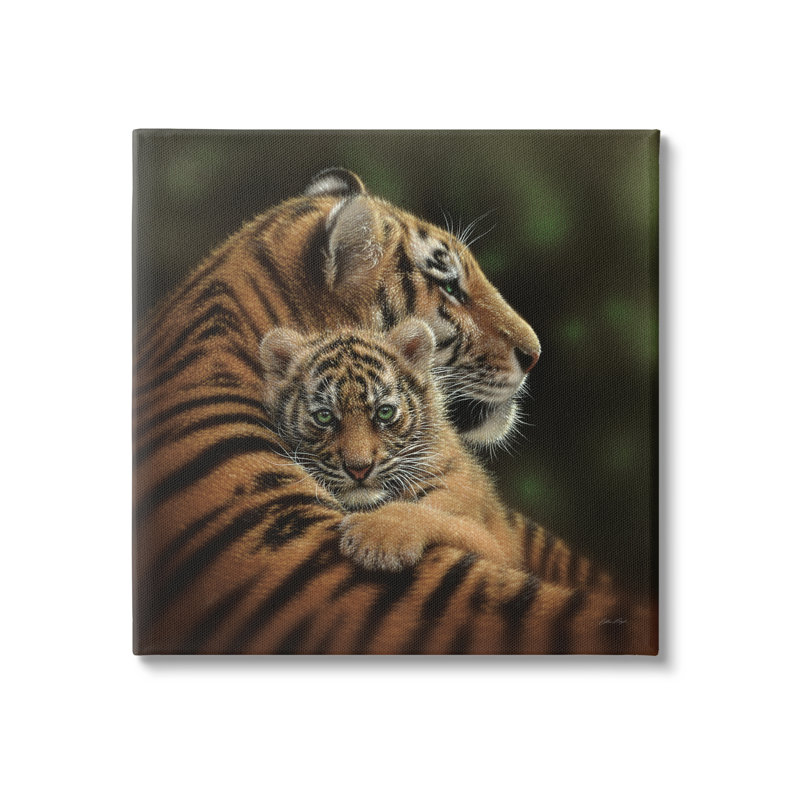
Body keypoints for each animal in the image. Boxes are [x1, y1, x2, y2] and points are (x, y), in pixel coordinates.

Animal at [259, 319, 522, 571]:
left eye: (384, 412)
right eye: (324, 417)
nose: (359, 469)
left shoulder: (495, 546)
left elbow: (436, 517)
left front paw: (377, 538)